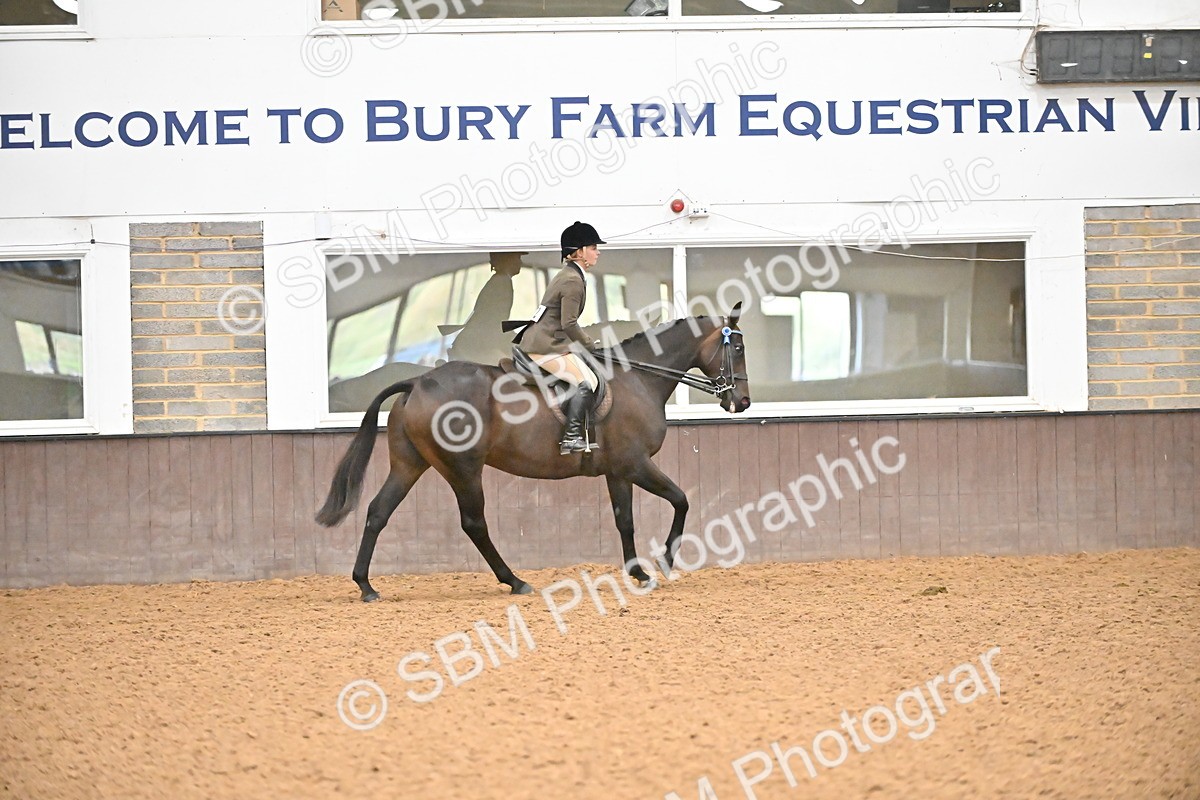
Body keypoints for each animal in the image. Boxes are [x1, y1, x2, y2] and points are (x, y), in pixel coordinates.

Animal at [315, 303, 751, 602]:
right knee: (473, 523)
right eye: (739, 349)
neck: (638, 379)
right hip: (463, 469)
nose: (742, 401)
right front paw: (664, 561)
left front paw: (638, 573)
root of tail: (417, 382)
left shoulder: (618, 470)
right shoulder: (636, 464)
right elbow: (681, 501)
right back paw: (516, 581)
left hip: (410, 464)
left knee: (377, 512)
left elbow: (624, 520)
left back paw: (366, 585)